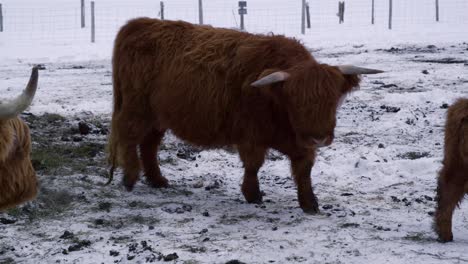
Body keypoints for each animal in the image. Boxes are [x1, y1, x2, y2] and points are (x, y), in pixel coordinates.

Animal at [109, 18, 384, 212]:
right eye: (296, 99)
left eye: (333, 99)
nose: (319, 137)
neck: (277, 105)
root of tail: (138, 24)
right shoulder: (251, 135)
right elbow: (254, 165)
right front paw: (253, 195)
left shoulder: (300, 142)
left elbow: (304, 169)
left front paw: (310, 203)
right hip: (137, 108)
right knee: (128, 136)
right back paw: (130, 178)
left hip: (158, 115)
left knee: (149, 144)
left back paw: (157, 180)